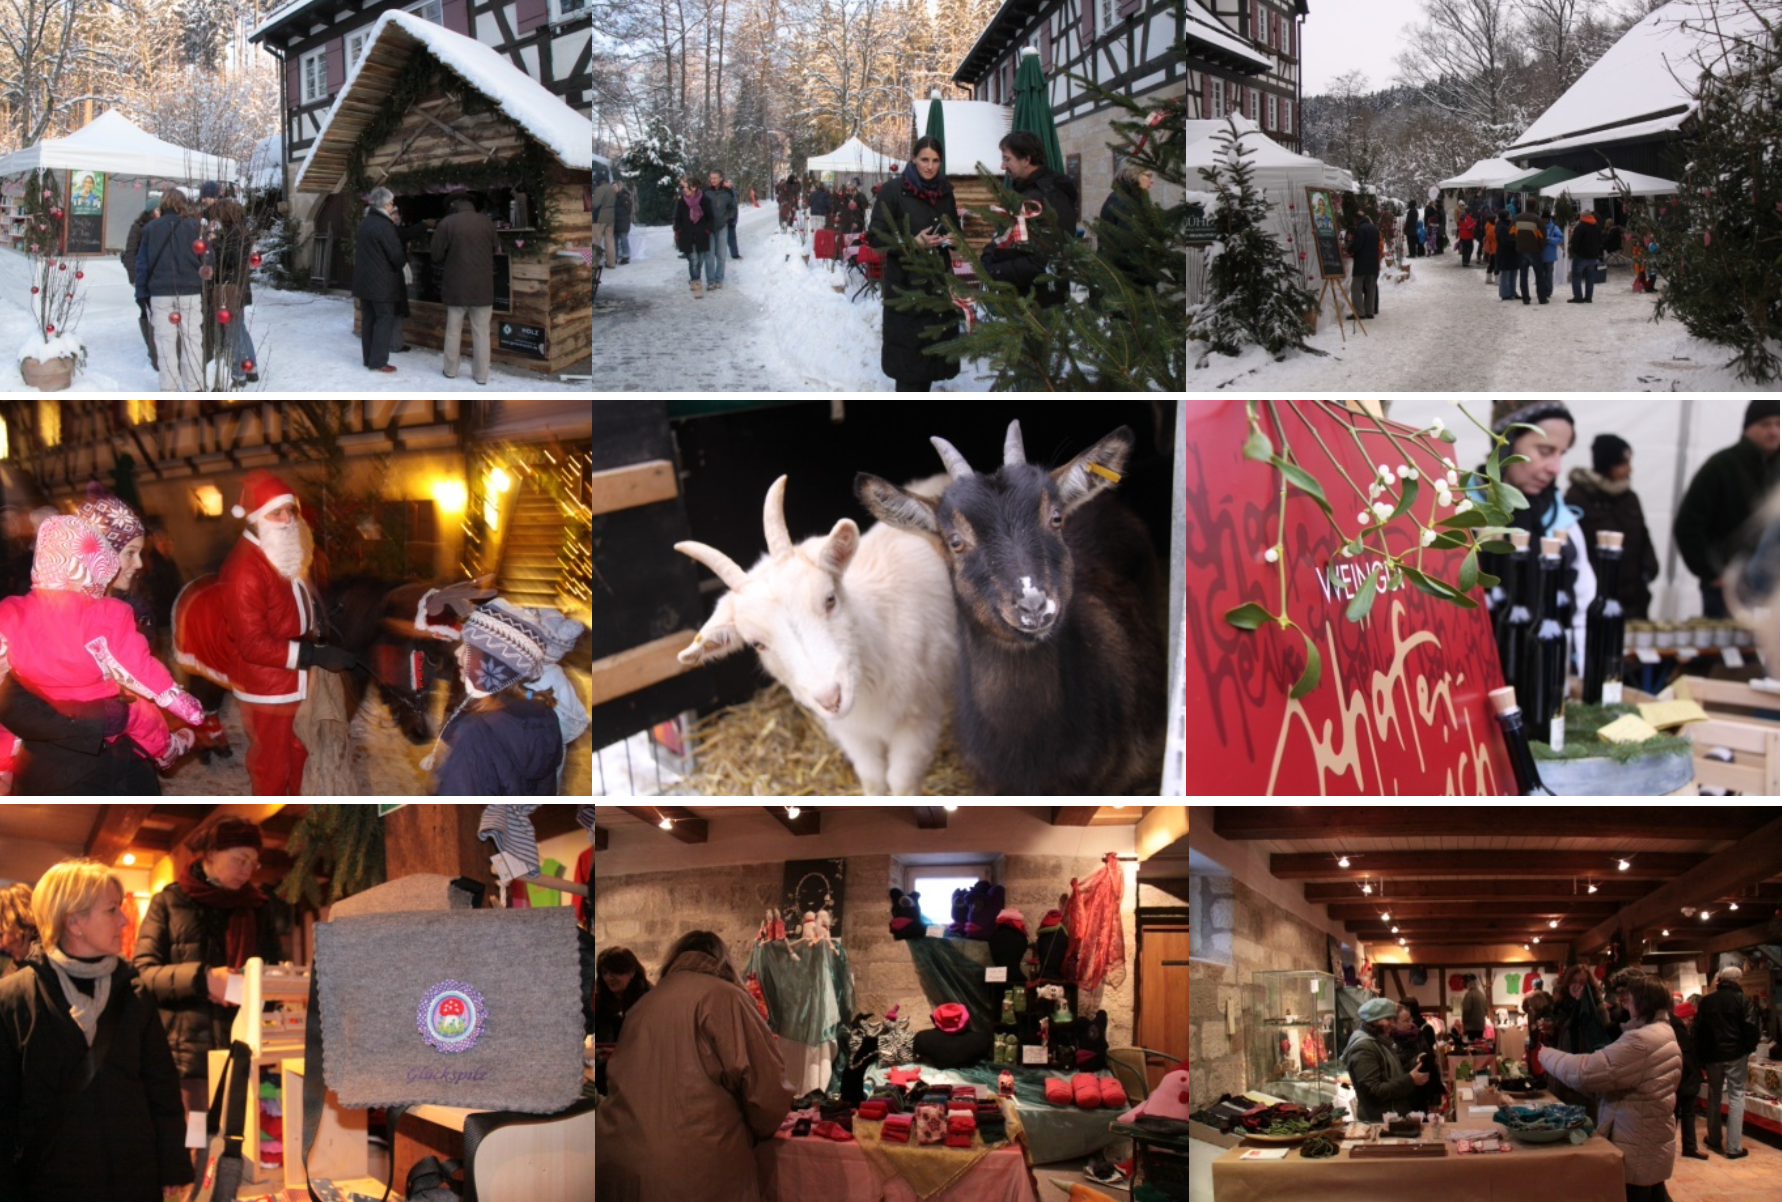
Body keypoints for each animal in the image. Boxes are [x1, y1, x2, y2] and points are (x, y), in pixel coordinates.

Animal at [670, 473, 962, 794]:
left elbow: (902, 783)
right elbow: (872, 779)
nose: (830, 699)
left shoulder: (920, 719)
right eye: (757, 643)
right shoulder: (852, 732)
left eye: (830, 599)